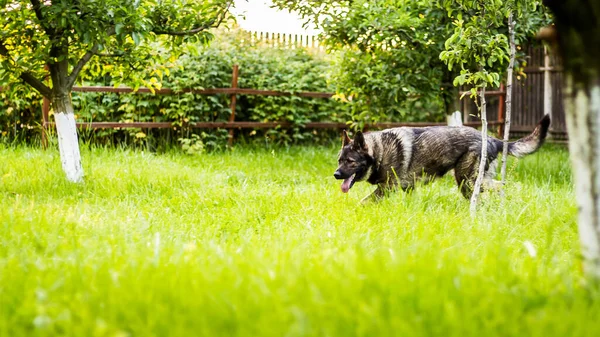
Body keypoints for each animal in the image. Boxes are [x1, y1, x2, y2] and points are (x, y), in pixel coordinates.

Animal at [336, 114, 552, 201]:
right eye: (339, 160)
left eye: (351, 162)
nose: (336, 175)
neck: (379, 152)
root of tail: (492, 139)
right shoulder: (408, 187)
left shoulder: (387, 188)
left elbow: (363, 202)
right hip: (471, 183)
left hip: (468, 181)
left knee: (502, 186)